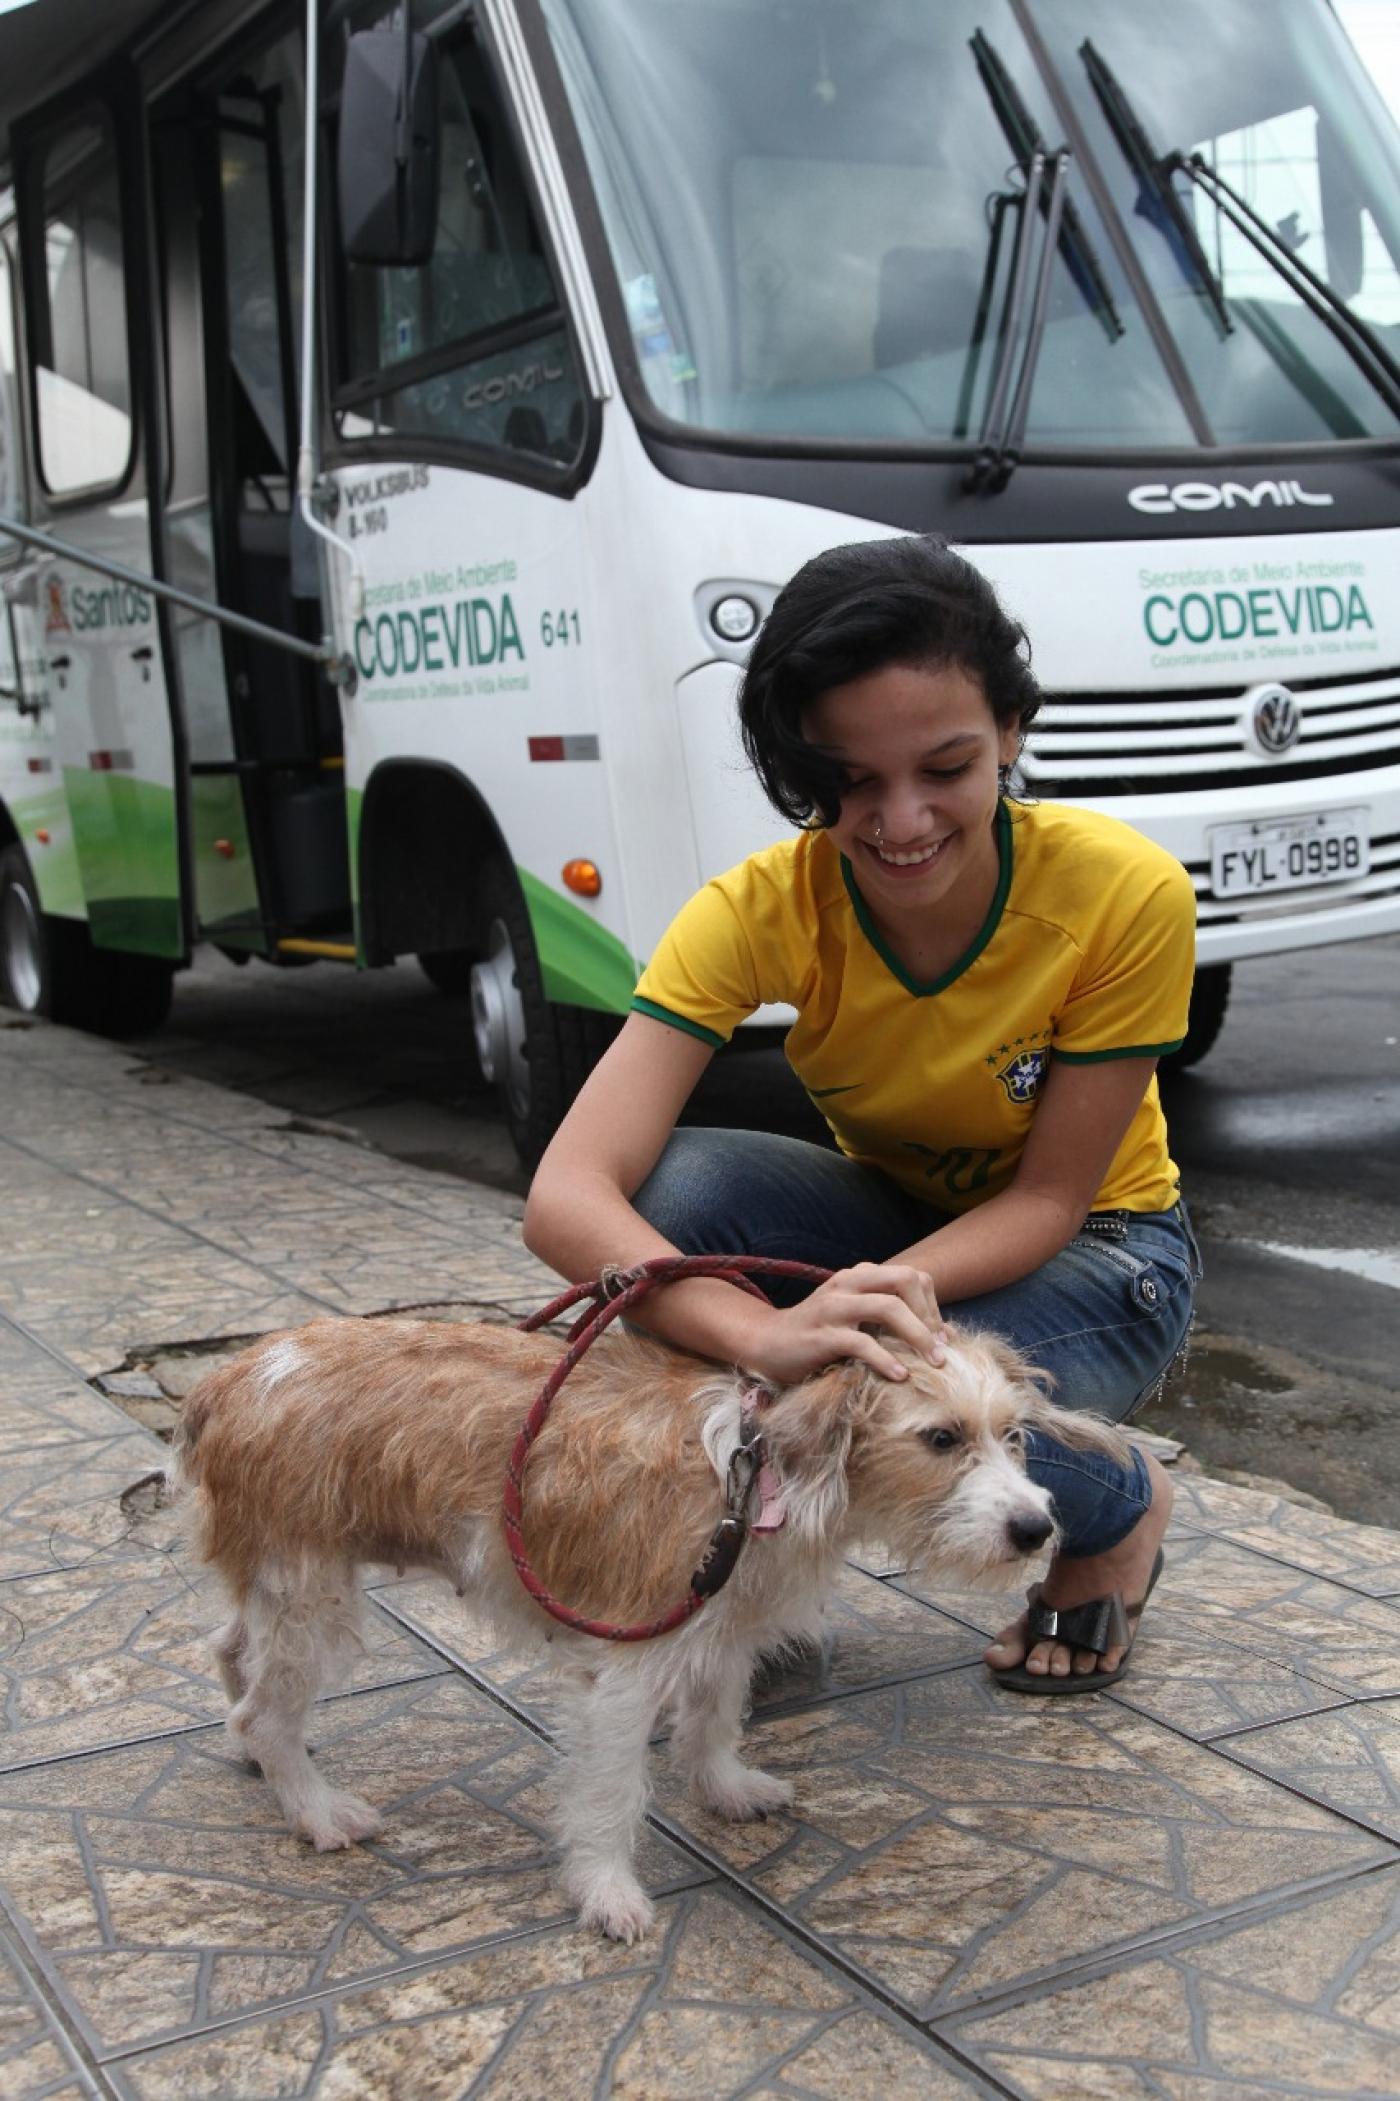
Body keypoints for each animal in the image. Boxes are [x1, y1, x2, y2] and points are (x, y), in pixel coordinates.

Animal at [174, 1319, 1126, 1941]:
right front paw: (605, 1891)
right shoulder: (625, 1668)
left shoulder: (724, 1626)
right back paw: (314, 1808)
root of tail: (234, 1375)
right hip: (311, 1593)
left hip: (281, 1585)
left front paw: (724, 1786)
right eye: (940, 1438)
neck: (764, 1474)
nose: (1036, 1527)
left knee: (231, 1652)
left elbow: (715, 1715)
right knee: (263, 1707)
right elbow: (609, 1792)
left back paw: (260, 1763)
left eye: (1013, 1434)